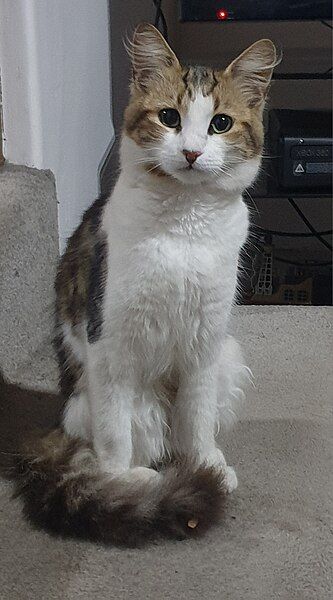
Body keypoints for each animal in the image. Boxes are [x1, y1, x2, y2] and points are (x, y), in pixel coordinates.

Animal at [12, 25, 278, 548]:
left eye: (220, 123)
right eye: (169, 117)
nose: (192, 152)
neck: (184, 226)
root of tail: (58, 421)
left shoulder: (204, 339)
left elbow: (197, 420)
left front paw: (205, 466)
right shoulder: (110, 341)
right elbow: (115, 433)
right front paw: (122, 485)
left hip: (227, 356)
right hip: (108, 401)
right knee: (115, 441)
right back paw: (137, 476)